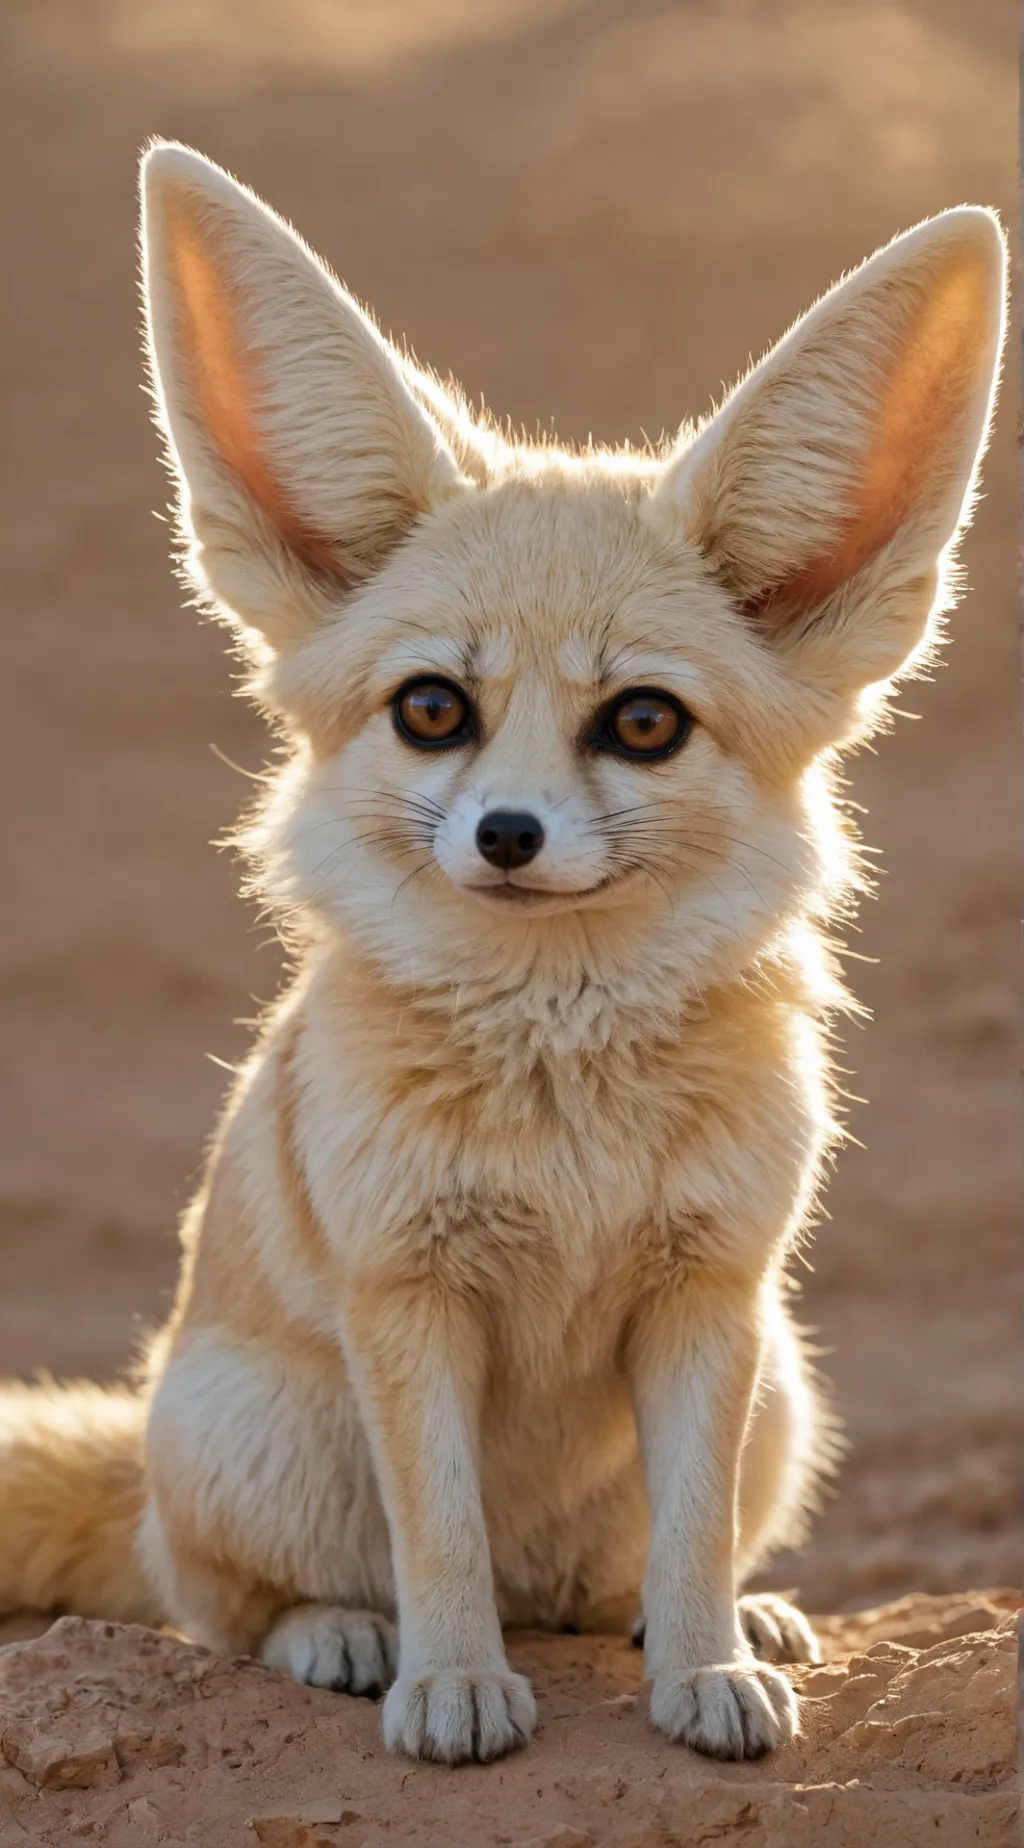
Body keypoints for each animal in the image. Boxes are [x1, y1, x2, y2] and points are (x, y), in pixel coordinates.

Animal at [0, 145, 1006, 1768]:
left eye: (642, 722)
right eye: (433, 711)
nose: (510, 834)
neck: (563, 1113)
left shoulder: (711, 1292)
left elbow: (689, 1531)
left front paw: (710, 1666)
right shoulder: (407, 1296)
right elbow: (441, 1536)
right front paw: (453, 1685)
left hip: (787, 1391)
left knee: (613, 1578)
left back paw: (721, 1622)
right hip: (260, 1440)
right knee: (219, 1602)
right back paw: (345, 1639)